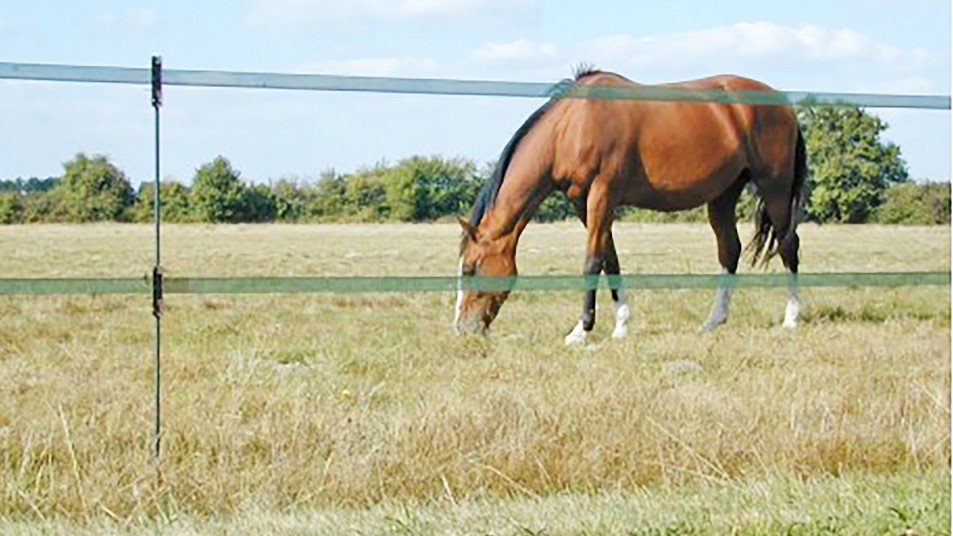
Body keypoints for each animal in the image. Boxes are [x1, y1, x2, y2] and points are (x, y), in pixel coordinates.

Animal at [454, 68, 806, 344]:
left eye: (471, 268)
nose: (462, 328)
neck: (573, 125)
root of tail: (784, 105)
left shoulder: (602, 193)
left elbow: (592, 261)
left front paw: (580, 331)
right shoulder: (584, 202)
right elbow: (610, 260)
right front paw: (621, 326)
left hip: (774, 186)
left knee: (788, 244)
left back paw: (791, 318)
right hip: (722, 195)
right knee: (729, 250)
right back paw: (712, 321)